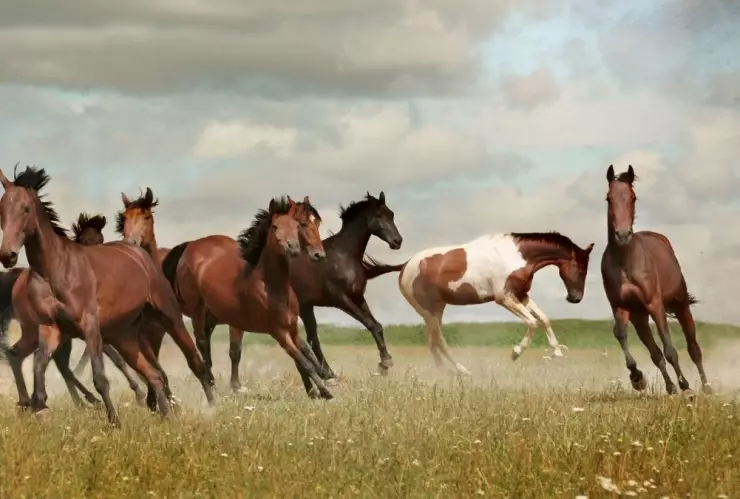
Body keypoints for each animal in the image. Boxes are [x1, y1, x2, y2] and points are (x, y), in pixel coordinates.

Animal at [0, 212, 147, 409]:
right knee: (48, 361)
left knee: (49, 361)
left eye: (101, 240)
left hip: (54, 336)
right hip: (39, 332)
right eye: (84, 242)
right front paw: (140, 393)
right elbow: (117, 358)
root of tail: (16, 283)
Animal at [159, 196, 335, 399]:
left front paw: (320, 385)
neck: (273, 287)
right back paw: (210, 384)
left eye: (297, 225)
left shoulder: (292, 329)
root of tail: (190, 246)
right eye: (275, 226)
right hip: (197, 312)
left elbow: (307, 355)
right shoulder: (278, 332)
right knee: (202, 344)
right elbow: (304, 362)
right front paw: (323, 391)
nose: (318, 254)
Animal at [363, 231, 594, 373]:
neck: (516, 256)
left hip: (436, 310)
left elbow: (544, 319)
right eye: (582, 268)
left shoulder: (521, 296)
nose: (575, 298)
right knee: (439, 340)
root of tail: (404, 266)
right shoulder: (504, 298)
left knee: (432, 341)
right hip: (430, 311)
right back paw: (460, 371)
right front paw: (515, 353)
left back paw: (448, 373)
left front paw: (557, 354)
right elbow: (532, 322)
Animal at [601, 165, 710, 394]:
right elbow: (621, 334)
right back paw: (669, 387)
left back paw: (706, 387)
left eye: (633, 197)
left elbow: (670, 349)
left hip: (680, 305)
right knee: (655, 353)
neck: (625, 262)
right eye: (608, 198)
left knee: (693, 348)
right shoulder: (621, 307)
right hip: (640, 317)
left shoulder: (655, 304)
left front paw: (686, 386)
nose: (622, 235)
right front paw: (637, 378)